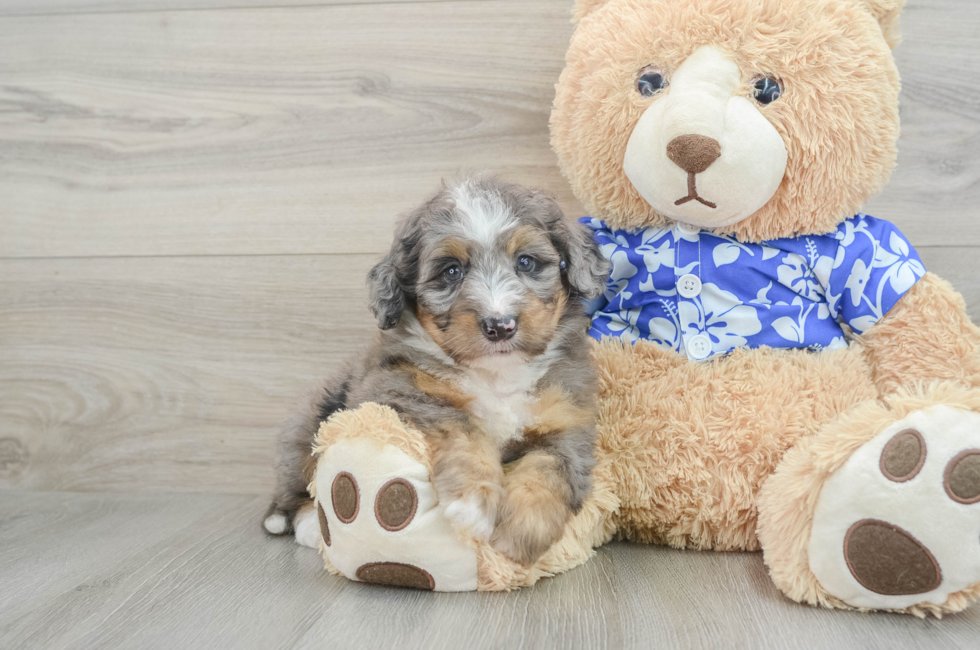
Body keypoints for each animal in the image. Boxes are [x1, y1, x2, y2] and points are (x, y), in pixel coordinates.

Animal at [264, 175, 608, 564]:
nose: (500, 325)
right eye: (451, 271)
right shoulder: (399, 387)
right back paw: (308, 524)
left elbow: (550, 467)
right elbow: (462, 424)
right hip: (310, 424)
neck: (497, 375)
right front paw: (474, 503)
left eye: (526, 262)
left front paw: (520, 530)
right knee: (298, 488)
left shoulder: (568, 423)